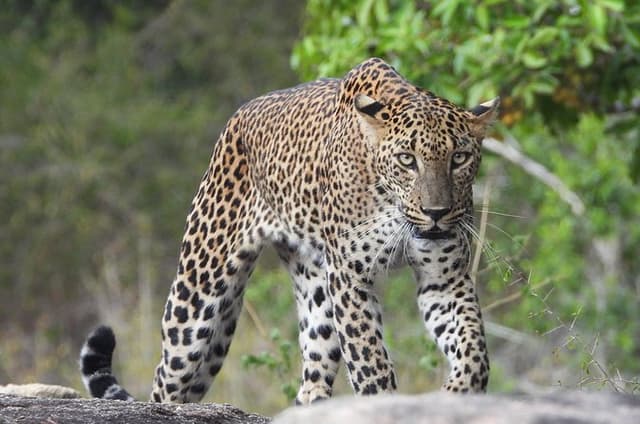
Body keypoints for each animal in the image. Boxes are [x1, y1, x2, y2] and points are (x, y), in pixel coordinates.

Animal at [80, 57, 498, 405]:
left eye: (460, 158)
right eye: (407, 160)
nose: (436, 213)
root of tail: (238, 115)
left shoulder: (444, 276)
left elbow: (473, 346)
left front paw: (457, 391)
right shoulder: (350, 278)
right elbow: (370, 361)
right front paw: (383, 402)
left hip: (311, 294)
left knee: (310, 373)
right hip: (198, 301)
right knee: (166, 379)